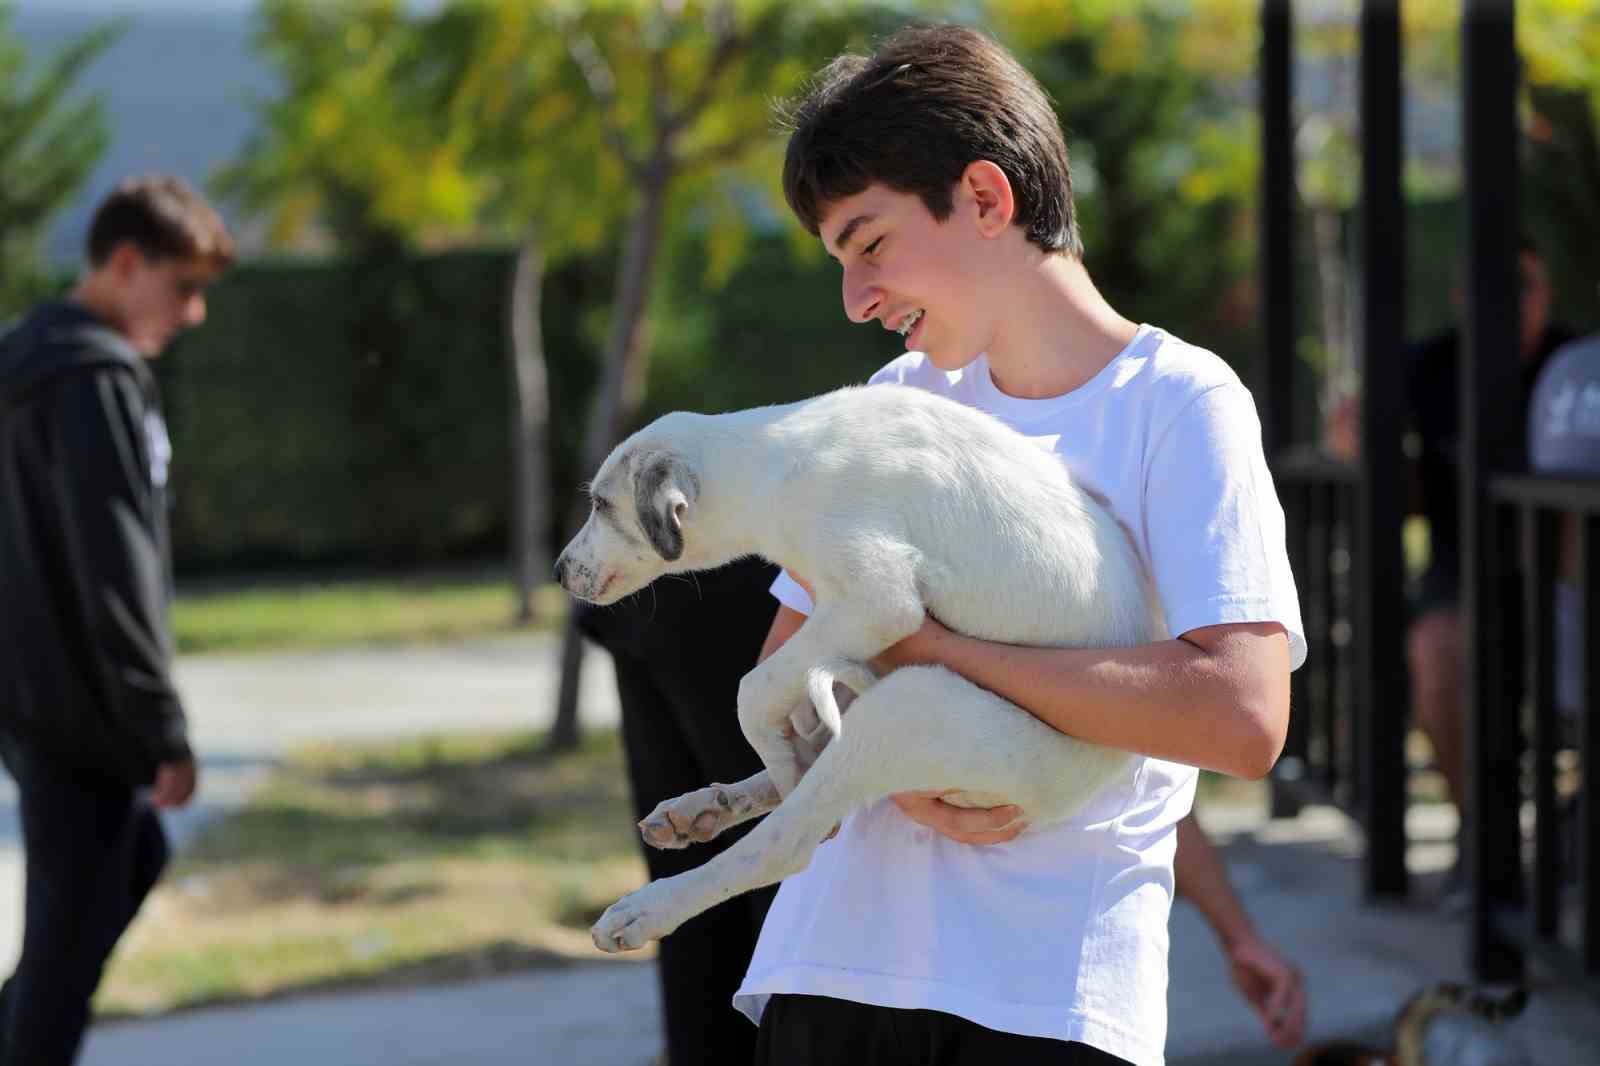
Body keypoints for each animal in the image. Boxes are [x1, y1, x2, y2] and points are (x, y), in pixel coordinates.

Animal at [556, 382, 1158, 947]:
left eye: (602, 505)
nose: (560, 574)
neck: (771, 461)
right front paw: (775, 760)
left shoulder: (878, 600)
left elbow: (753, 689)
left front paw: (778, 755)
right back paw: (706, 807)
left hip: (909, 709)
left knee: (787, 840)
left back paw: (649, 907)